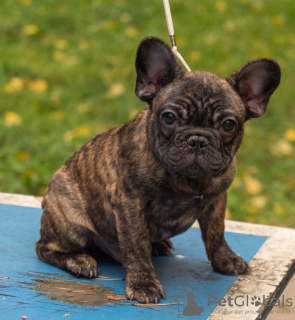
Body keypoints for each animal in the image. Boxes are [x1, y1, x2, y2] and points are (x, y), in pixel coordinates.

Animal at [37, 36, 282, 304]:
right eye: (169, 118)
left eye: (228, 124)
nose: (197, 139)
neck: (188, 179)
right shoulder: (130, 204)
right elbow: (136, 246)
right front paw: (143, 283)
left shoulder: (217, 200)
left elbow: (217, 234)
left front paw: (225, 260)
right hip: (72, 226)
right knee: (45, 248)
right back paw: (79, 261)